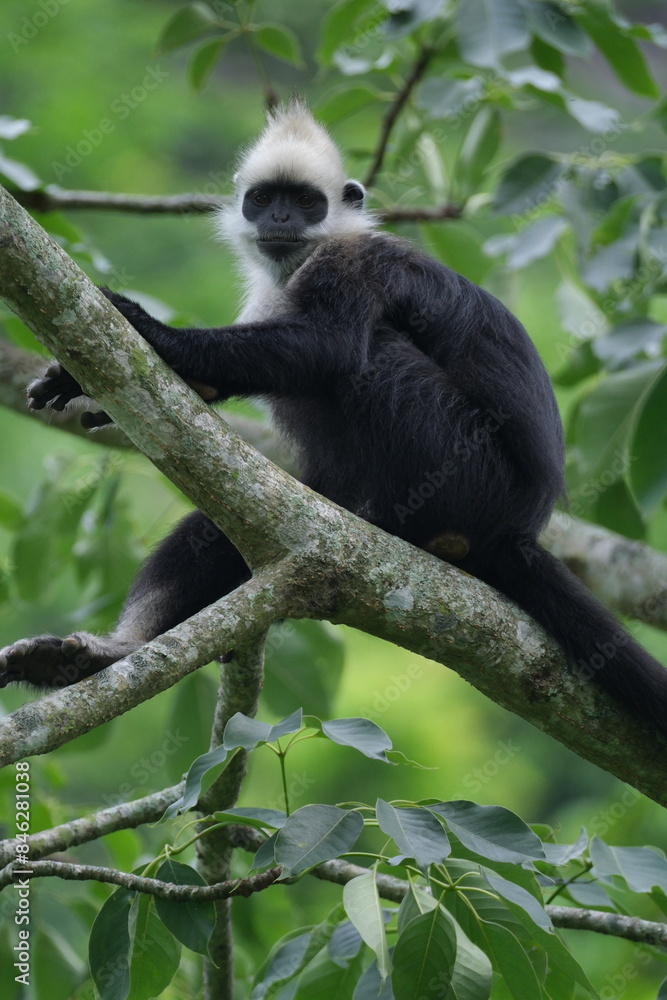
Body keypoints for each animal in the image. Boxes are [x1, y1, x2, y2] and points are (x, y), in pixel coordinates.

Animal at [1, 100, 666, 736]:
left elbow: (329, 349)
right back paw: (106, 656)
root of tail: (520, 526)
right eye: (263, 199)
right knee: (221, 530)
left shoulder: (354, 260)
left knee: (375, 352)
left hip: (469, 467)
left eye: (304, 201)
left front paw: (147, 328)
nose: (279, 222)